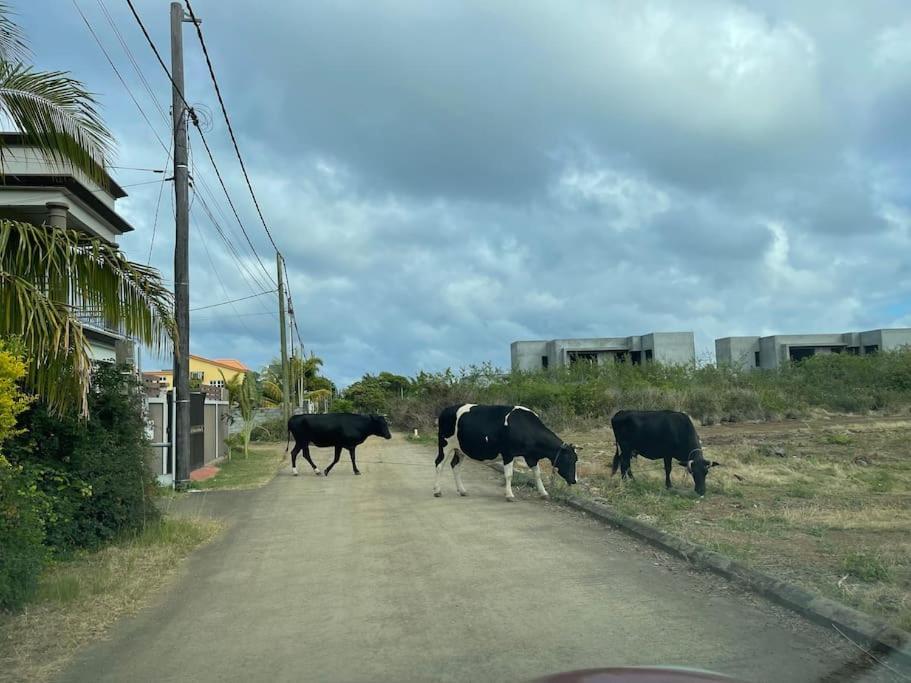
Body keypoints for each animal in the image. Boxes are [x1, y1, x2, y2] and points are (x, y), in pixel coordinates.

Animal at [435, 404, 580, 501]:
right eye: (568, 460)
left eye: (576, 459)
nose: (574, 480)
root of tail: (446, 410)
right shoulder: (508, 453)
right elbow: (509, 475)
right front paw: (510, 495)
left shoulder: (531, 456)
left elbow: (537, 474)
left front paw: (544, 493)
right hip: (445, 445)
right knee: (439, 464)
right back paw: (437, 491)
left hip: (460, 450)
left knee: (455, 466)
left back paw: (462, 490)